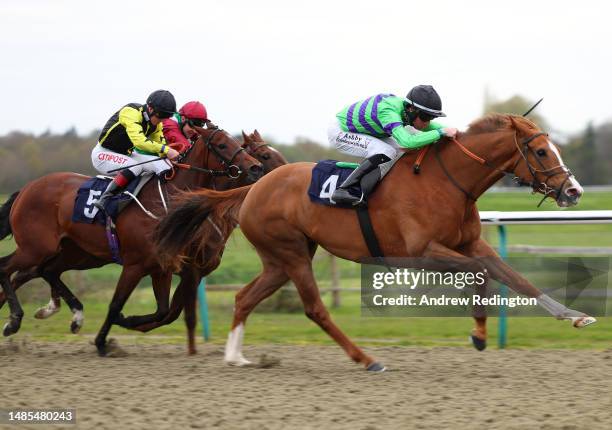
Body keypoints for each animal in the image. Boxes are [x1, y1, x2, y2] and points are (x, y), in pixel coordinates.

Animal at [155, 115, 596, 372]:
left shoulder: (472, 244)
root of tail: (254, 186)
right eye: (541, 151)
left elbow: (517, 278)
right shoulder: (422, 253)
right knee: (315, 309)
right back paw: (366, 359)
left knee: (245, 297)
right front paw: (479, 334)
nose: (573, 191)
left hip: (282, 258)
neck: (447, 181)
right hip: (291, 253)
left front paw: (575, 315)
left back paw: (235, 356)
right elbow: (481, 274)